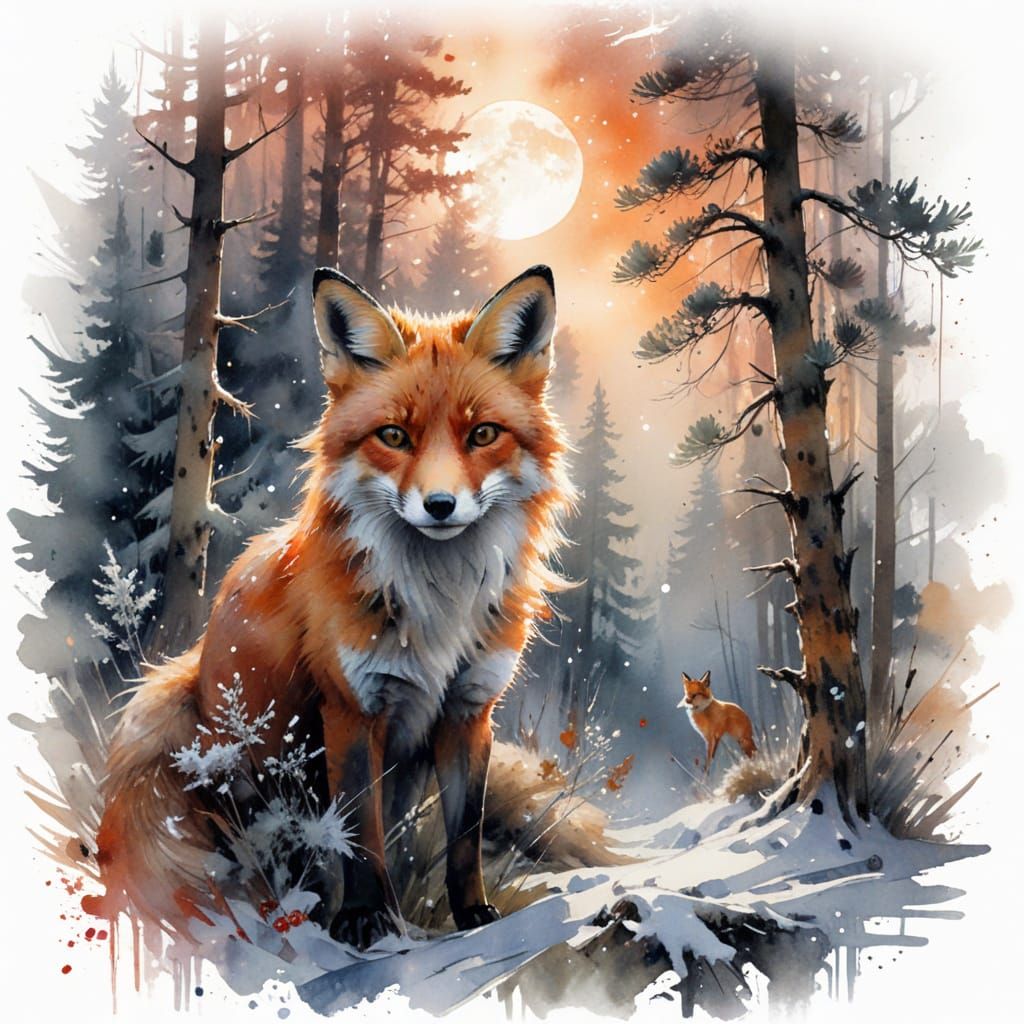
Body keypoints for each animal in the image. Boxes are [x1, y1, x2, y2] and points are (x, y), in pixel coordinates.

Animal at [85, 265, 575, 949]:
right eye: (394, 436)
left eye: (483, 434)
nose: (441, 506)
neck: (438, 604)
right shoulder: (352, 708)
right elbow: (360, 833)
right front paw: (365, 919)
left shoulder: (469, 709)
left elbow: (465, 835)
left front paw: (473, 914)